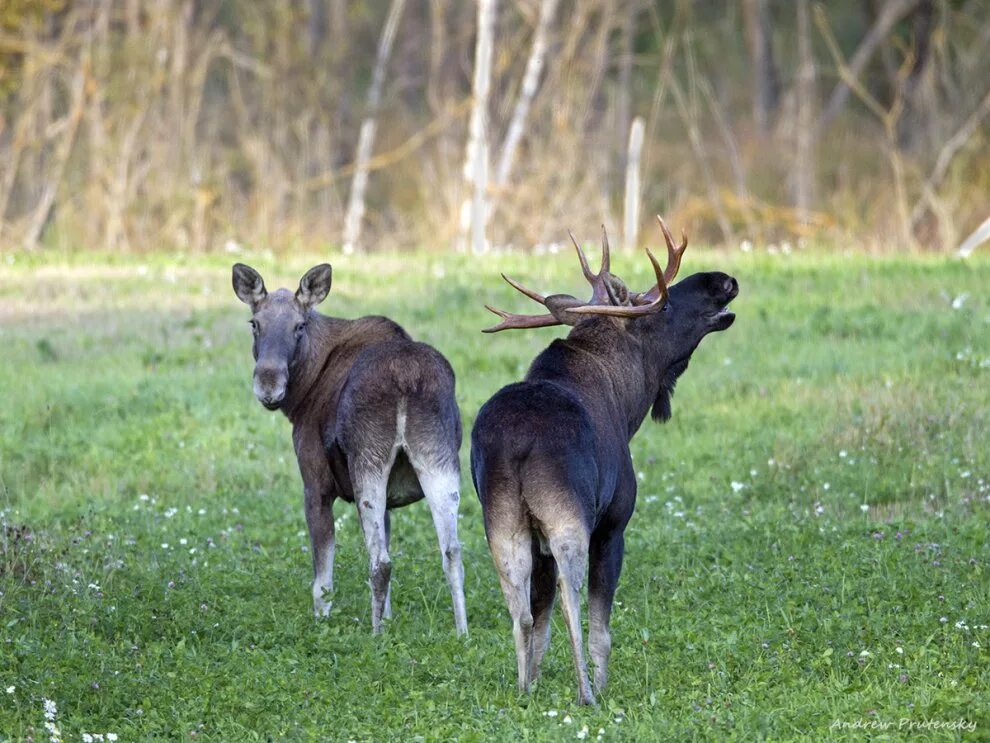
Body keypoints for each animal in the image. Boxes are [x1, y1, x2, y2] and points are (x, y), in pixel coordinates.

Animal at [232, 264, 468, 636]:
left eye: (300, 326)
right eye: (254, 323)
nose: (268, 385)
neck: (302, 395)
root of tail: (405, 378)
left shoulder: (315, 482)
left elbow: (322, 576)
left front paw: (323, 621)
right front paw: (388, 617)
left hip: (367, 460)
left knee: (381, 561)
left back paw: (375, 636)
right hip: (439, 457)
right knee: (452, 552)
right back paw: (462, 634)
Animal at [470, 218, 736, 708]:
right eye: (661, 306)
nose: (724, 282)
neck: (630, 403)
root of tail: (517, 446)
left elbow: (539, 620)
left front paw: (535, 682)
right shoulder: (613, 524)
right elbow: (601, 625)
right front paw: (602, 683)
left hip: (501, 522)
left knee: (520, 611)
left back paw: (522, 690)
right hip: (568, 518)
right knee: (569, 602)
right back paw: (586, 694)